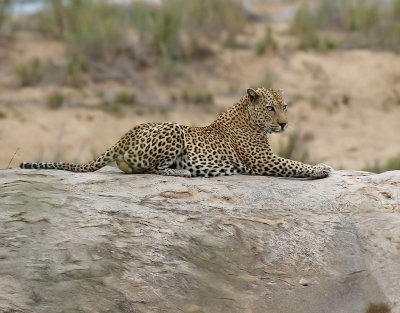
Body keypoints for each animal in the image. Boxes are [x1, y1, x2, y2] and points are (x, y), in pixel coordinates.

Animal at [20, 87, 334, 178]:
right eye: (271, 108)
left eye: (285, 106)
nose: (284, 124)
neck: (248, 117)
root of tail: (125, 134)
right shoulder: (263, 161)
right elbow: (295, 164)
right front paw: (320, 169)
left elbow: (295, 161)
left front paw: (323, 164)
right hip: (173, 128)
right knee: (149, 169)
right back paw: (182, 171)